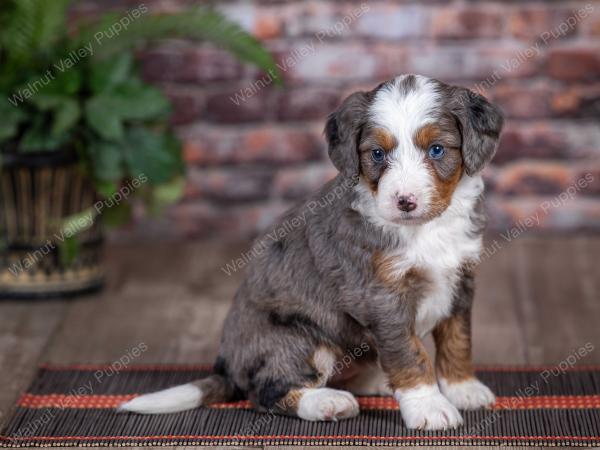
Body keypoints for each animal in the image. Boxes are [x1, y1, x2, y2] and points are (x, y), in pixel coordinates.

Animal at [123, 74, 506, 432]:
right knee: (267, 391)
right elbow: (409, 353)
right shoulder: (381, 295)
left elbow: (457, 338)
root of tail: (227, 368)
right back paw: (327, 402)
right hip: (297, 338)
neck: (425, 230)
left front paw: (462, 388)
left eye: (437, 150)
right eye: (377, 154)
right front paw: (428, 406)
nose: (405, 202)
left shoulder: (460, 278)